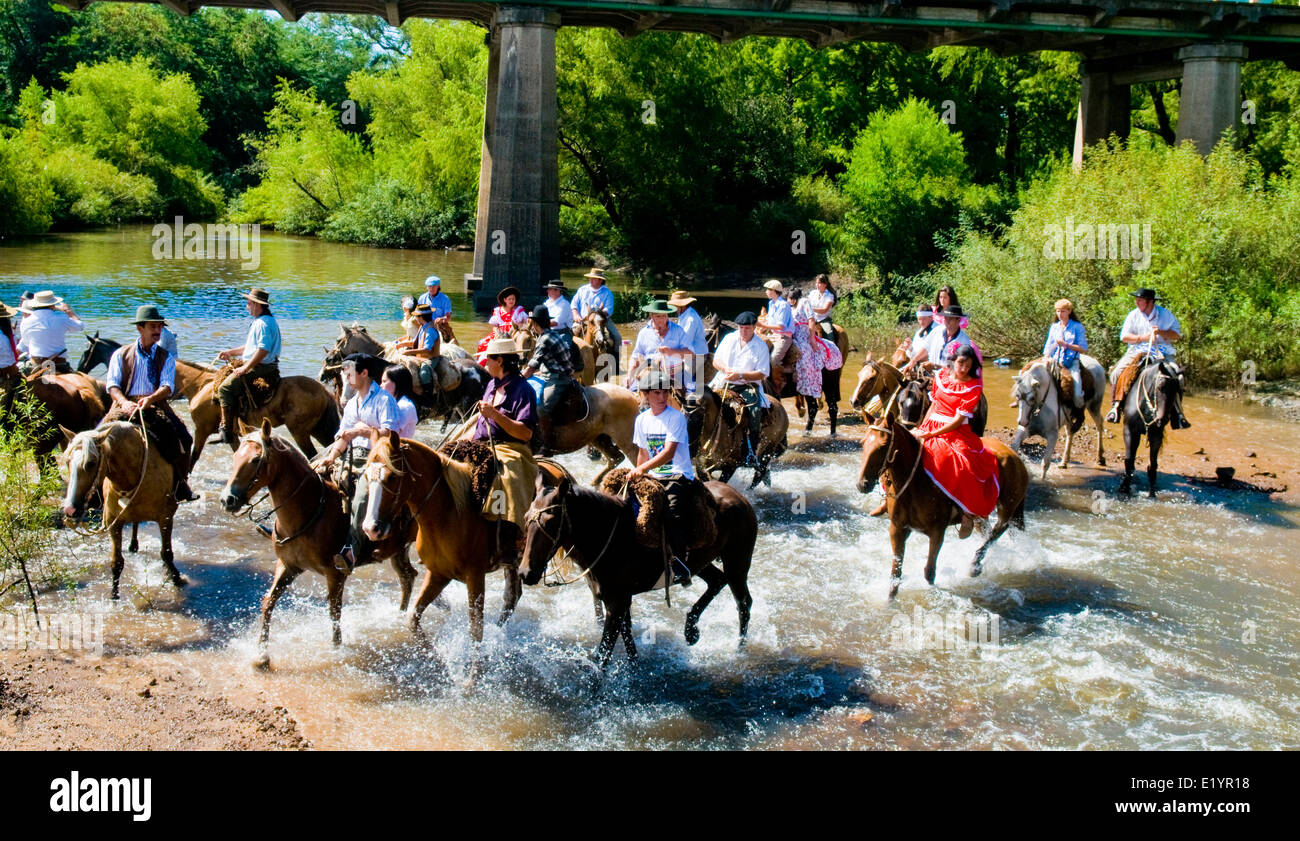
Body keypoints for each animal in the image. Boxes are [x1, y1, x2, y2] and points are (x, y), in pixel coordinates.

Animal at [61, 421, 185, 597]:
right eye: (67, 461)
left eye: (91, 463)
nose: (70, 510)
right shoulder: (113, 522)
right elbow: (117, 562)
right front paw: (114, 595)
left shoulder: (166, 517)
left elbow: (166, 554)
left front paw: (176, 578)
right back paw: (133, 545)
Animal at [218, 421, 418, 670]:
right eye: (236, 455)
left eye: (256, 459)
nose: (227, 500)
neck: (310, 511)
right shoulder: (288, 565)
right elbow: (268, 602)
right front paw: (262, 657)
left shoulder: (336, 574)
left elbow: (334, 612)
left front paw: (336, 651)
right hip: (398, 550)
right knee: (407, 577)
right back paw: (399, 615)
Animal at [520, 473, 759, 670]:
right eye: (526, 517)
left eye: (551, 521)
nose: (525, 573)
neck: (608, 535)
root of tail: (739, 497)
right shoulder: (621, 600)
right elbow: (629, 645)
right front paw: (635, 673)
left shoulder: (616, 603)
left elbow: (602, 657)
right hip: (700, 563)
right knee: (717, 581)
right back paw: (691, 631)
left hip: (737, 561)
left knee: (743, 602)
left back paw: (738, 650)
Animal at [857, 413, 1029, 597]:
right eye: (863, 443)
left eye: (883, 446)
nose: (862, 484)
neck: (916, 483)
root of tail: (1015, 456)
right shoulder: (897, 528)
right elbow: (895, 575)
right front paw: (889, 600)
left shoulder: (937, 531)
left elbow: (929, 571)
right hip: (980, 515)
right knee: (990, 531)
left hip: (1007, 506)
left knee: (1000, 527)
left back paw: (975, 565)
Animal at [1118, 356, 1190, 499]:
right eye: (1160, 387)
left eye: (1178, 390)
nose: (1163, 419)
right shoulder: (1129, 430)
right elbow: (1129, 461)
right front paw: (1124, 488)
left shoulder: (1156, 434)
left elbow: (1153, 466)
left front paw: (1152, 494)